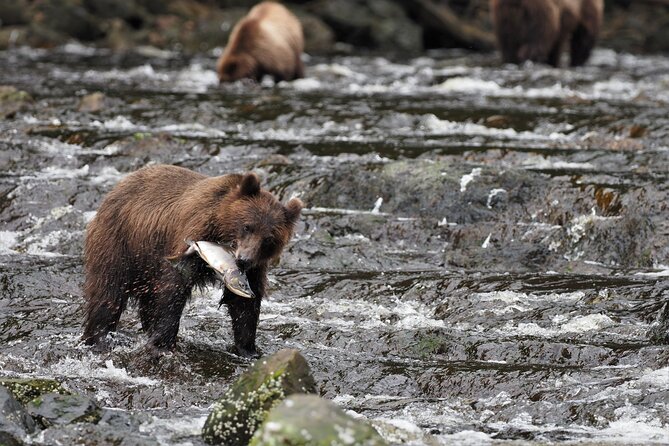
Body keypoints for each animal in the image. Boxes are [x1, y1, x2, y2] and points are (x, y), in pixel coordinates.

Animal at [81, 164, 302, 357]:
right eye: (247, 226)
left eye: (269, 239)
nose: (243, 259)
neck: (220, 226)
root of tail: (116, 188)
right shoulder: (193, 231)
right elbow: (175, 286)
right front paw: (161, 344)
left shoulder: (255, 269)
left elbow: (244, 304)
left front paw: (248, 349)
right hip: (121, 242)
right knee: (108, 292)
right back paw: (99, 338)